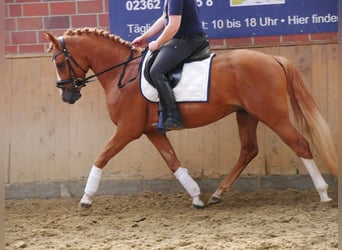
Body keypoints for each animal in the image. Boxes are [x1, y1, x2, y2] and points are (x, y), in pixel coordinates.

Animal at [45, 27, 336, 209]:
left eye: (59, 63)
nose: (67, 96)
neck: (122, 73)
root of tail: (274, 59)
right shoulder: (153, 131)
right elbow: (173, 162)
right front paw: (196, 197)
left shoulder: (128, 130)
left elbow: (101, 157)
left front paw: (86, 198)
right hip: (247, 115)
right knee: (248, 150)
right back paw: (217, 194)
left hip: (272, 114)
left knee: (300, 144)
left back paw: (323, 193)